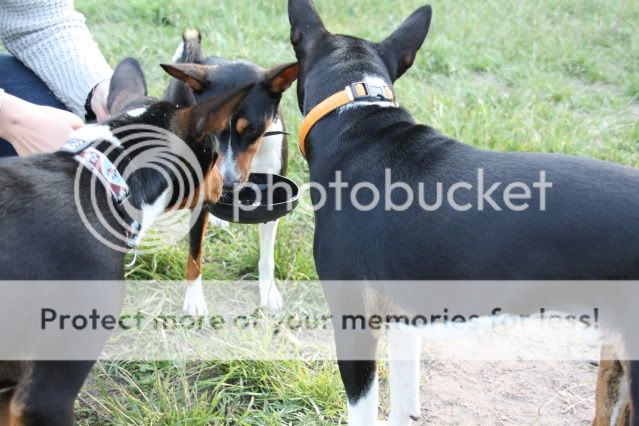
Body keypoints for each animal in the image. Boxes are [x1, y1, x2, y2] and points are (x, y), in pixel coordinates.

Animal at [162, 29, 299, 315]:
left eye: (252, 129)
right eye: (212, 127)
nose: (227, 183)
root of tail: (197, 60)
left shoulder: (273, 202)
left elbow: (267, 258)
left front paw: (268, 292)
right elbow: (195, 254)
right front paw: (194, 298)